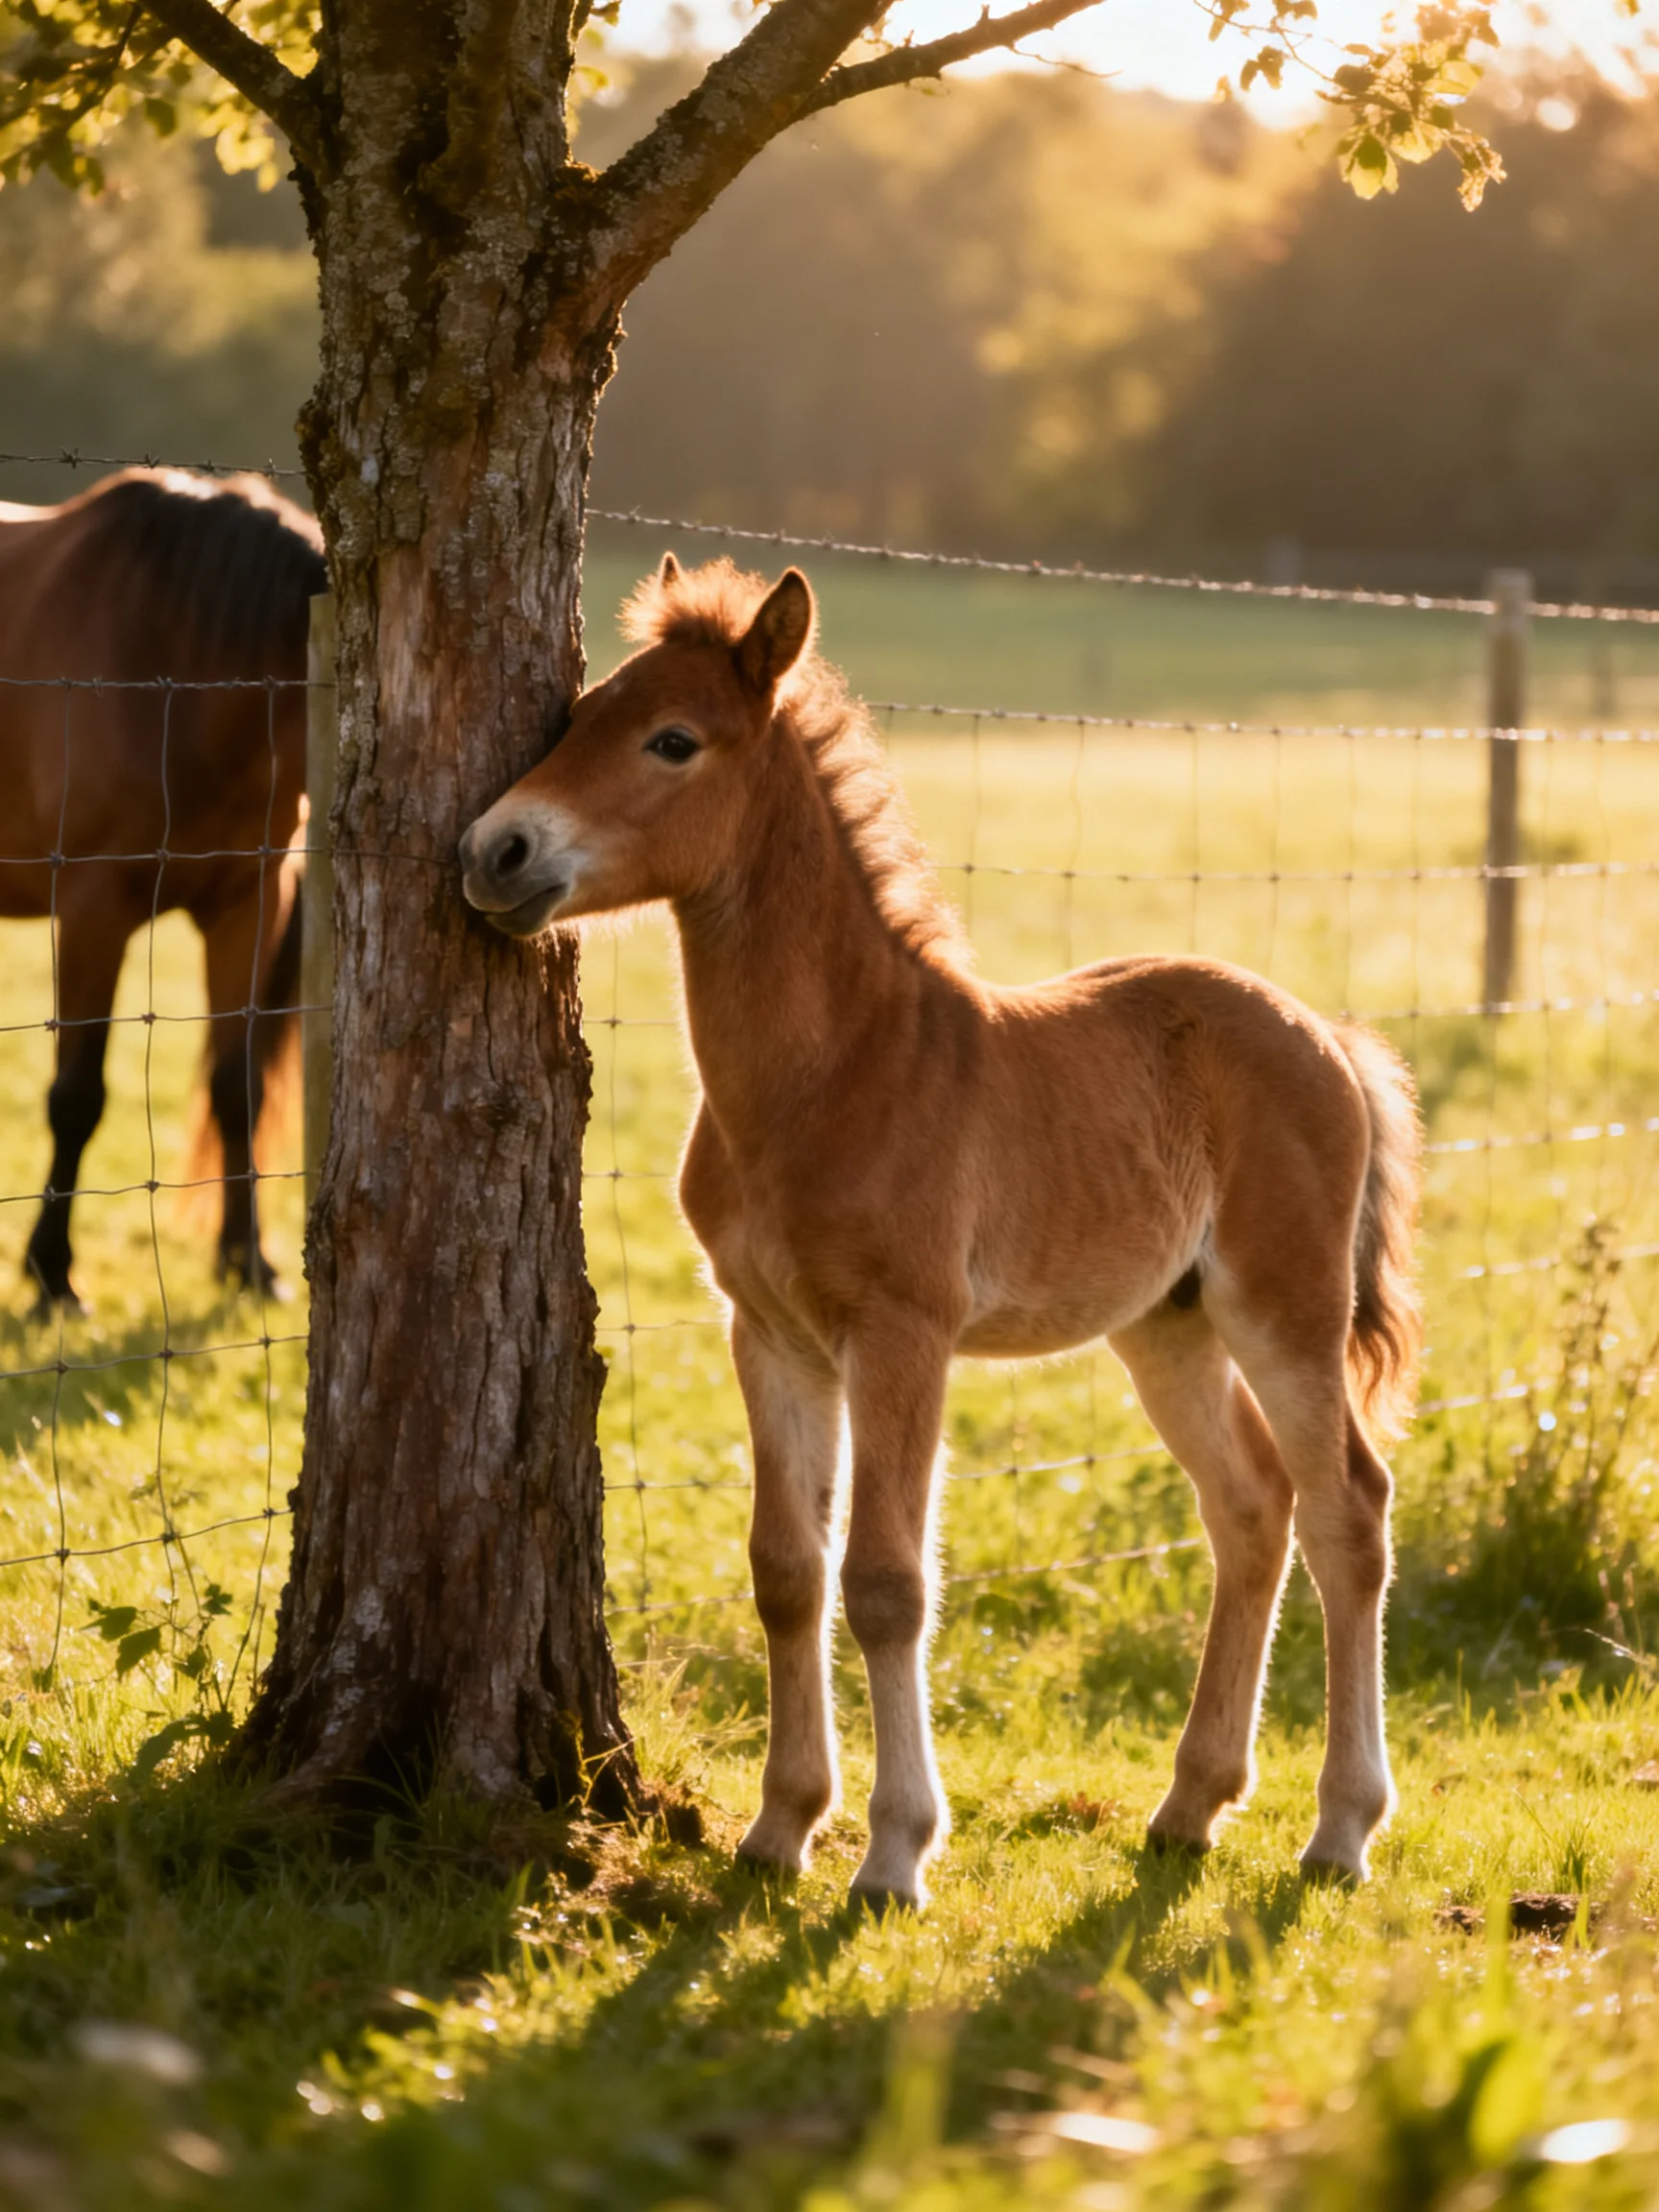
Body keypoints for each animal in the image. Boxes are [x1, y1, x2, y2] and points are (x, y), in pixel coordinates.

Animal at [0, 468, 324, 1311]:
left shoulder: (247, 906)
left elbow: (236, 1086)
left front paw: (249, 1262)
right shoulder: (94, 910)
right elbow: (76, 1097)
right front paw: (53, 1274)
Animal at [459, 555, 1423, 1907]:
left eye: (672, 740)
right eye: (578, 713)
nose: (495, 851)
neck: (833, 1072)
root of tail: (1328, 1037)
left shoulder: (902, 1332)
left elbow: (886, 1582)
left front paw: (893, 1853)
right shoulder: (769, 1334)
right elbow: (787, 1571)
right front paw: (780, 1829)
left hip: (1285, 1306)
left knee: (1349, 1510)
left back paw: (1340, 1828)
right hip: (1165, 1325)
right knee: (1251, 1508)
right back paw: (1190, 1807)